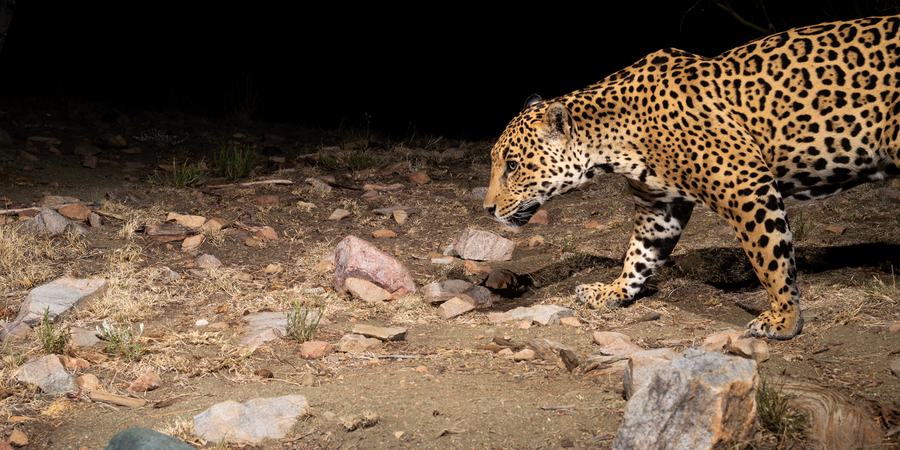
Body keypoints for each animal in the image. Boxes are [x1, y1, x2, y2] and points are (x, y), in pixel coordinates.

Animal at [483, 14, 900, 340]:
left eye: (512, 165)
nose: (487, 209)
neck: (613, 139)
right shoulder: (659, 206)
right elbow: (639, 255)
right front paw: (613, 292)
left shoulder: (746, 186)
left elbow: (770, 258)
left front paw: (784, 318)